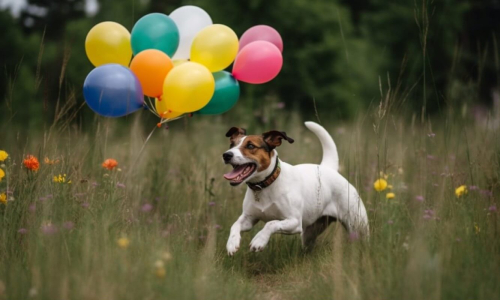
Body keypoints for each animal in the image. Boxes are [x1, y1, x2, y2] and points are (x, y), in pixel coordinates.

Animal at [223, 120, 368, 254]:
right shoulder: (248, 219)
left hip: (357, 224)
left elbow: (271, 223)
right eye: (231, 144)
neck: (265, 185)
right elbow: (235, 225)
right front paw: (232, 242)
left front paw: (259, 240)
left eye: (250, 145)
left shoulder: (294, 222)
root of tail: (328, 168)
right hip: (310, 232)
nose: (226, 154)